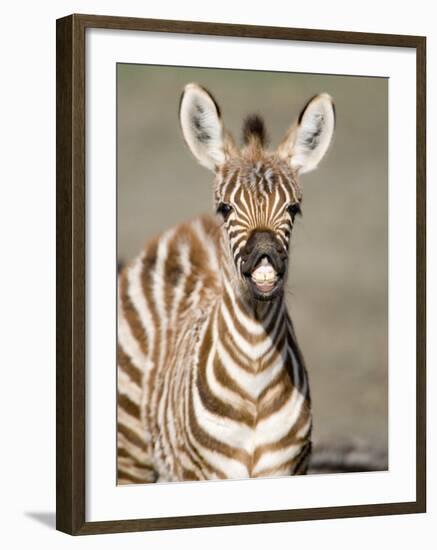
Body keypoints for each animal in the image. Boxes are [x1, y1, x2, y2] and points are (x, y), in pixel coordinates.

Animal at [116, 84, 334, 486]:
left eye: (293, 209)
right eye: (225, 208)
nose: (264, 258)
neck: (255, 375)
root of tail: (187, 228)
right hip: (131, 451)